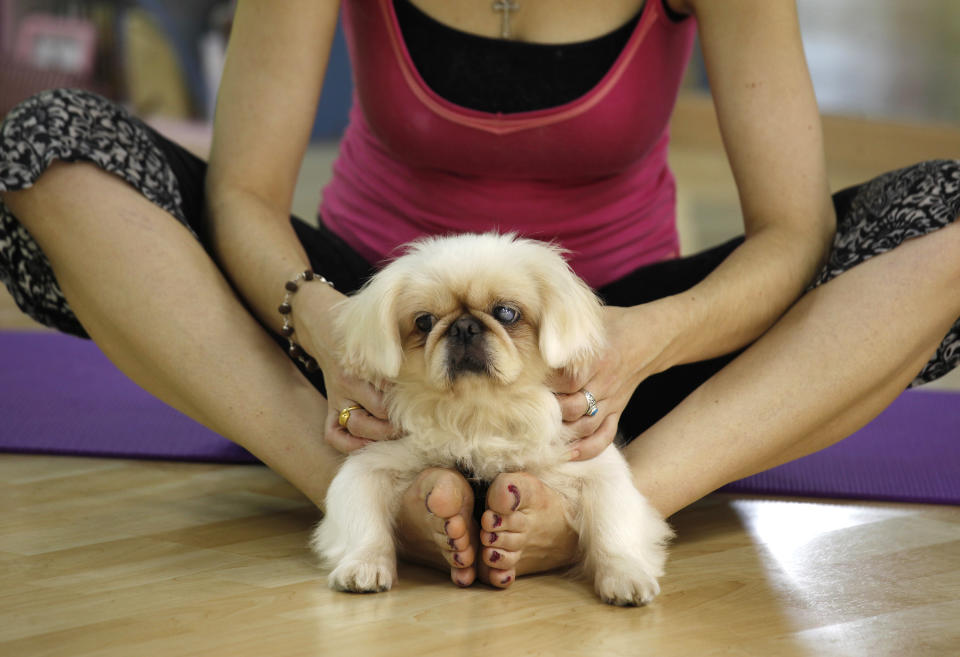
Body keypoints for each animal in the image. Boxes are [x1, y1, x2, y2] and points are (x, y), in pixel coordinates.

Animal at [312, 232, 672, 604]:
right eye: (424, 322)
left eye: (506, 313)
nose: (464, 327)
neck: (478, 412)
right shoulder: (370, 463)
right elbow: (362, 524)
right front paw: (363, 567)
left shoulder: (595, 466)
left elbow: (614, 529)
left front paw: (626, 576)